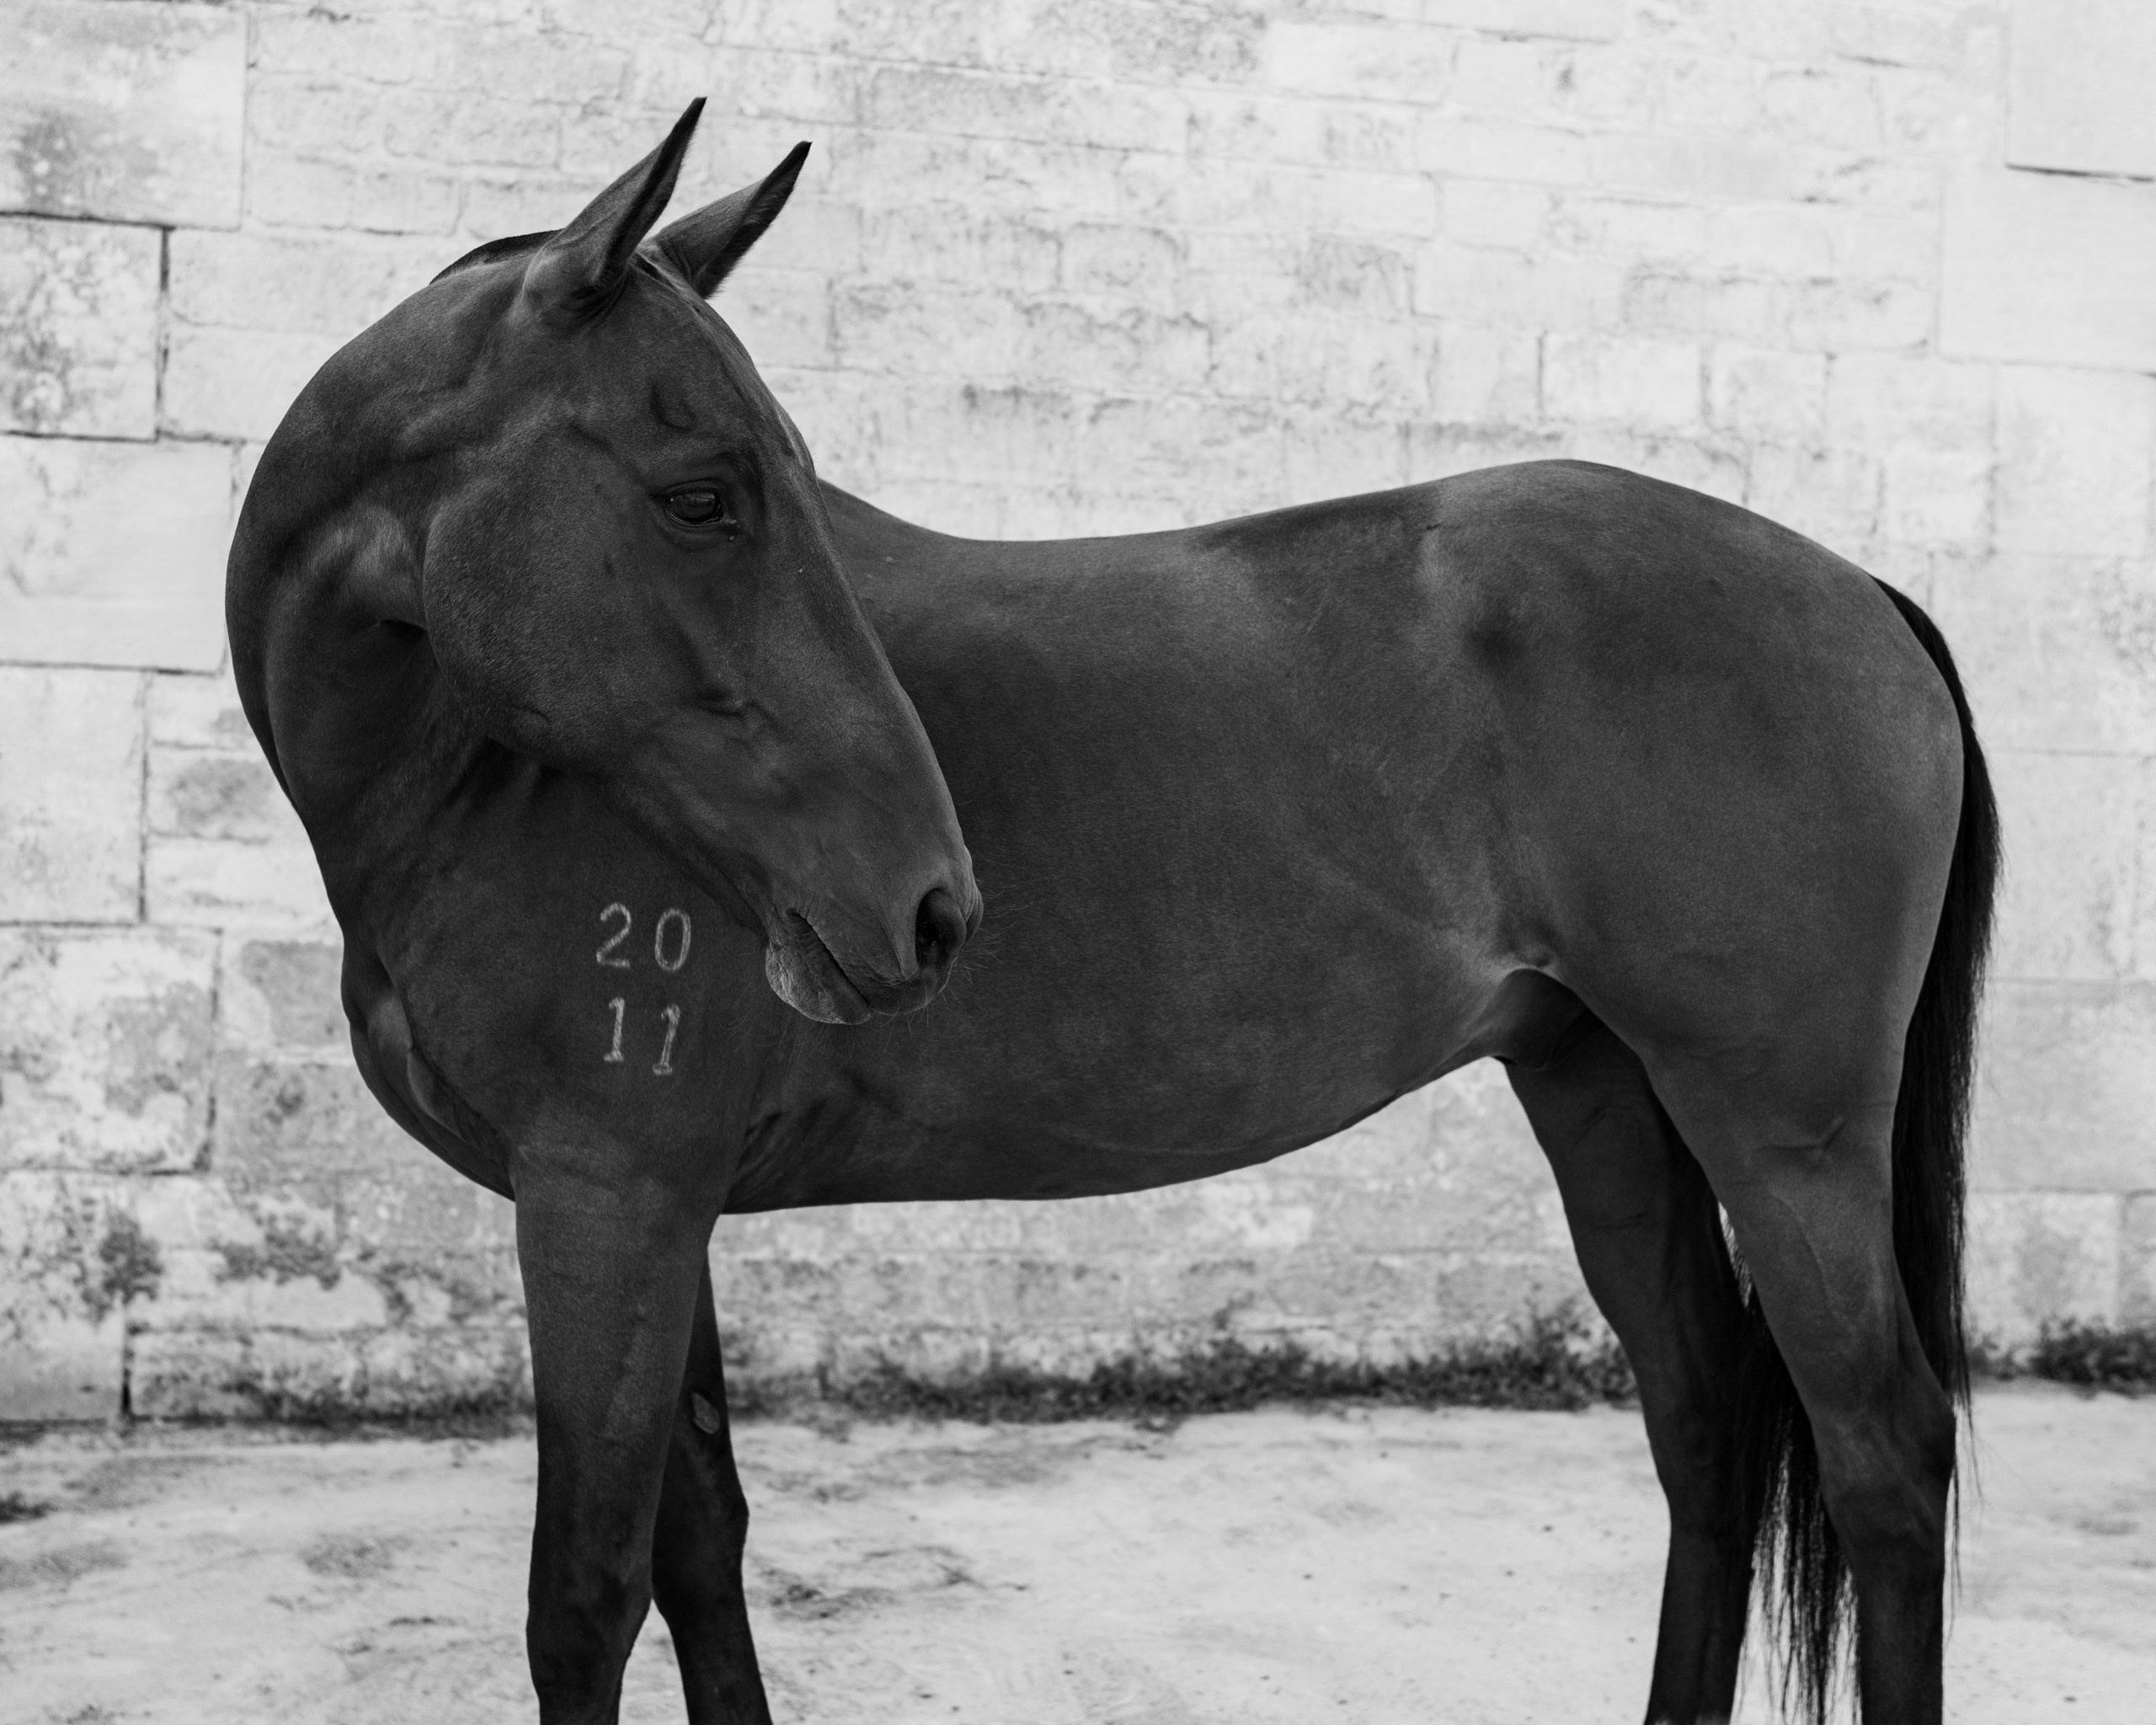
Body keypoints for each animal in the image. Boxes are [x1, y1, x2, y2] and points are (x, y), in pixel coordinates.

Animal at [228, 102, 1997, 1725]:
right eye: (700, 495)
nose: (928, 904)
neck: (468, 775)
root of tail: (1864, 594)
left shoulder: (607, 1194)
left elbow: (584, 1601)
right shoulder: (659, 1205)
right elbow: (698, 1549)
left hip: (1785, 1136)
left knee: (1883, 1456)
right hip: (1603, 1088)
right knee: (1703, 1425)